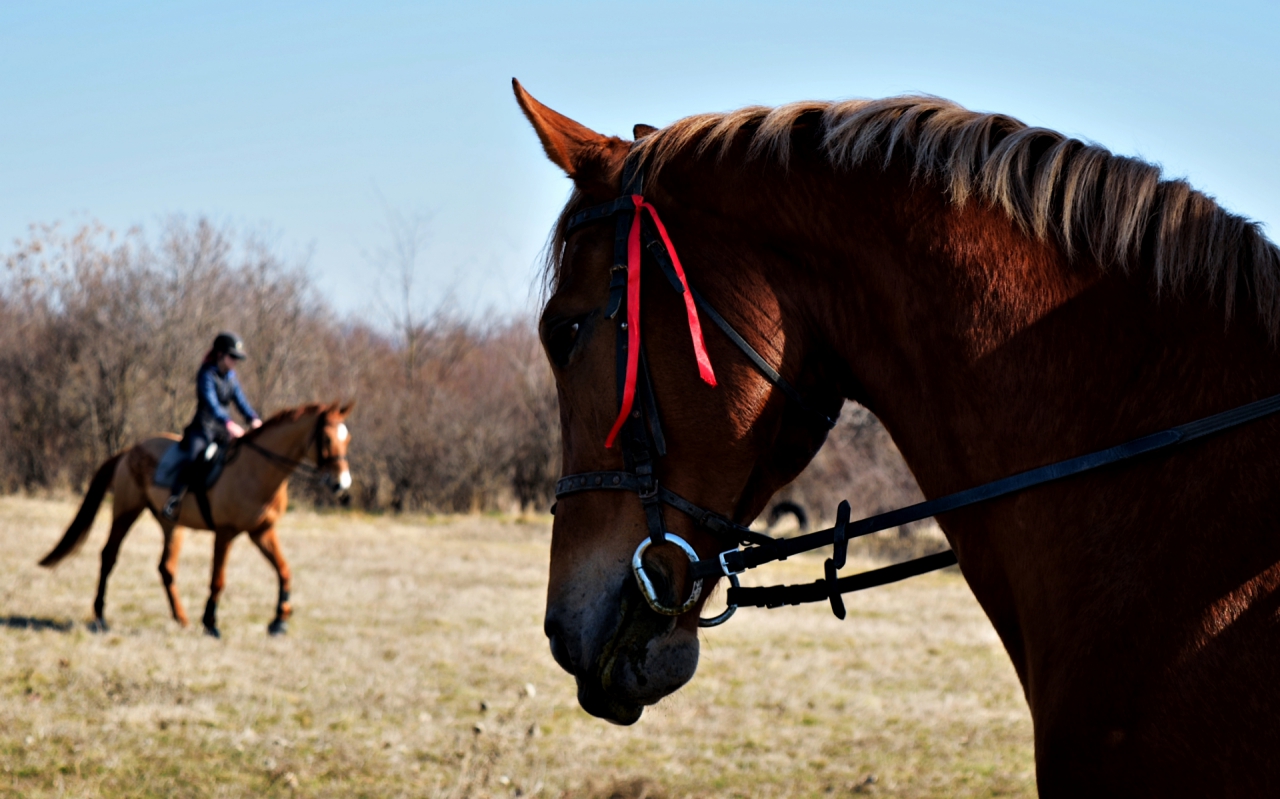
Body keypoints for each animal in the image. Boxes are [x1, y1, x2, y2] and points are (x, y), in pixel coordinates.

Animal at [38, 402, 353, 640]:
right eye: (327, 439)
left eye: (347, 439)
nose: (341, 484)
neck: (258, 470)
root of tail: (129, 450)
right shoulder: (226, 533)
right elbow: (218, 579)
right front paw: (211, 623)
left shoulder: (262, 531)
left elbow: (284, 571)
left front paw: (279, 621)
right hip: (127, 511)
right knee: (109, 555)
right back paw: (101, 615)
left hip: (172, 525)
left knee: (166, 568)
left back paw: (181, 618)